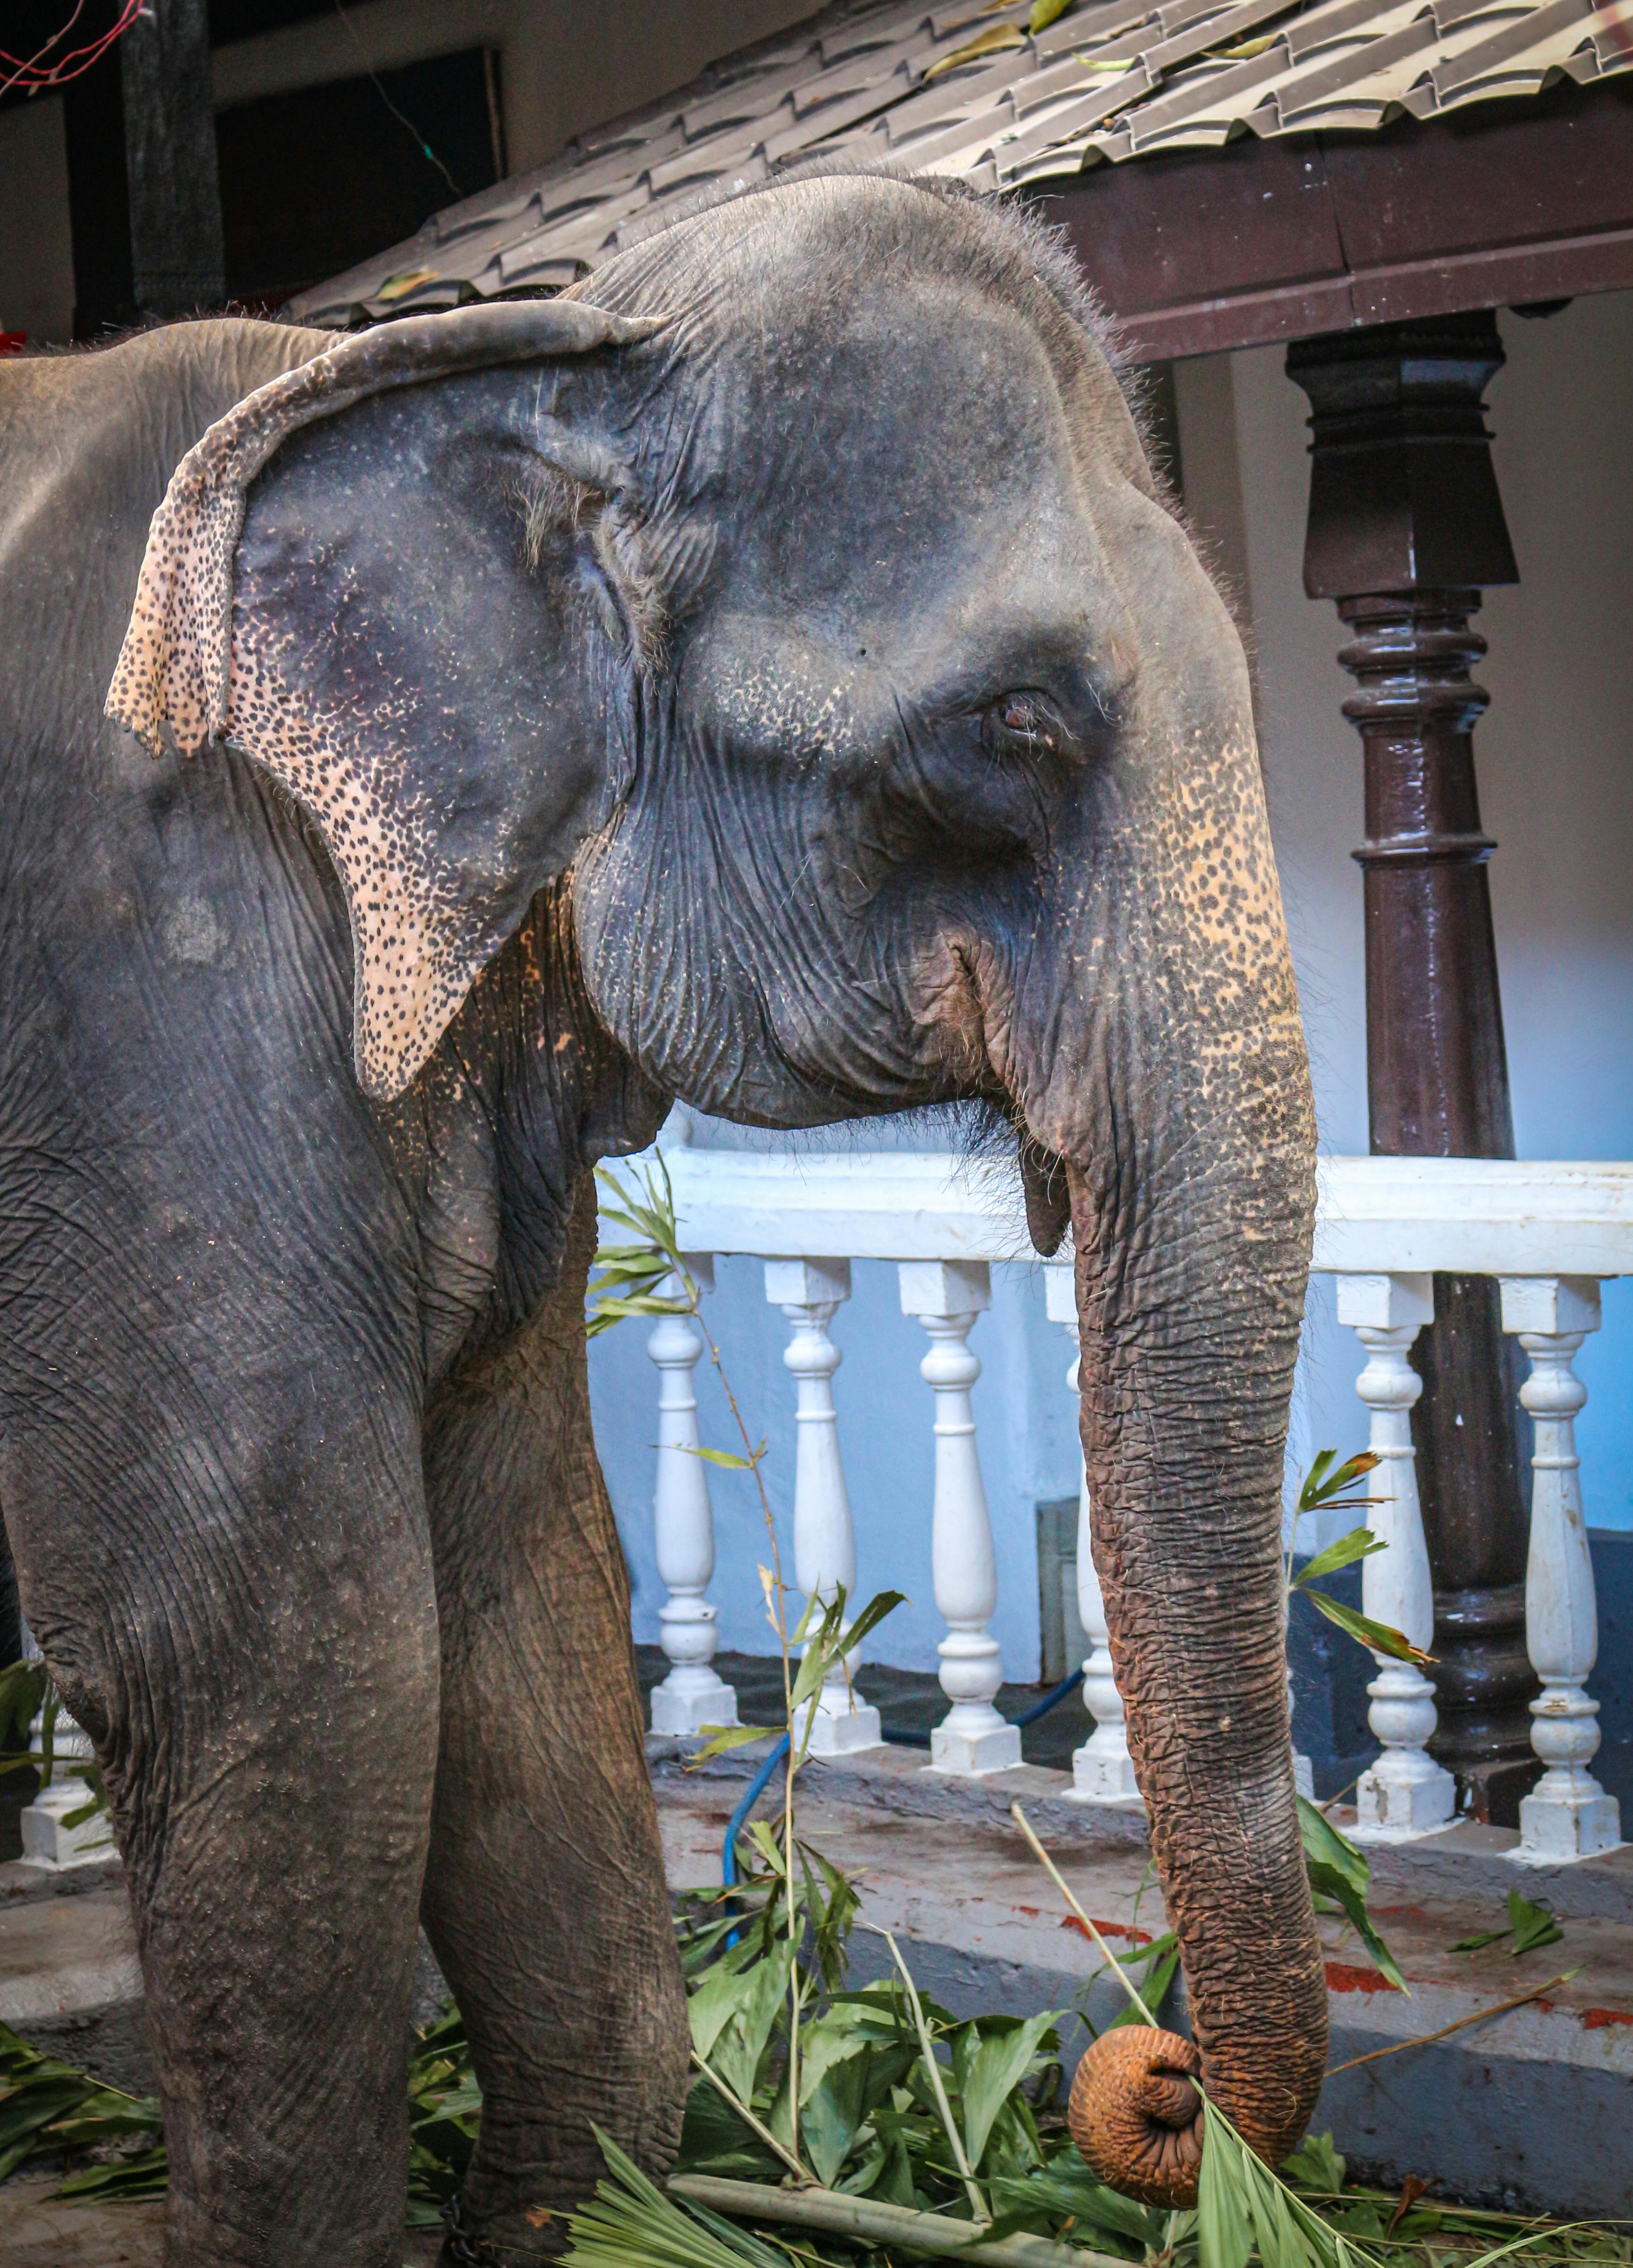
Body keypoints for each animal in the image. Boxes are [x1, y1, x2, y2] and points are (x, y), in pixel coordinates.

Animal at [0, 168, 1324, 2259]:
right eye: (1015, 728)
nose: (1156, 2067)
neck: (534, 358)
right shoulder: (141, 974)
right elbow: (264, 1647)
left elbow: (519, 1589)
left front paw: (601, 2205)